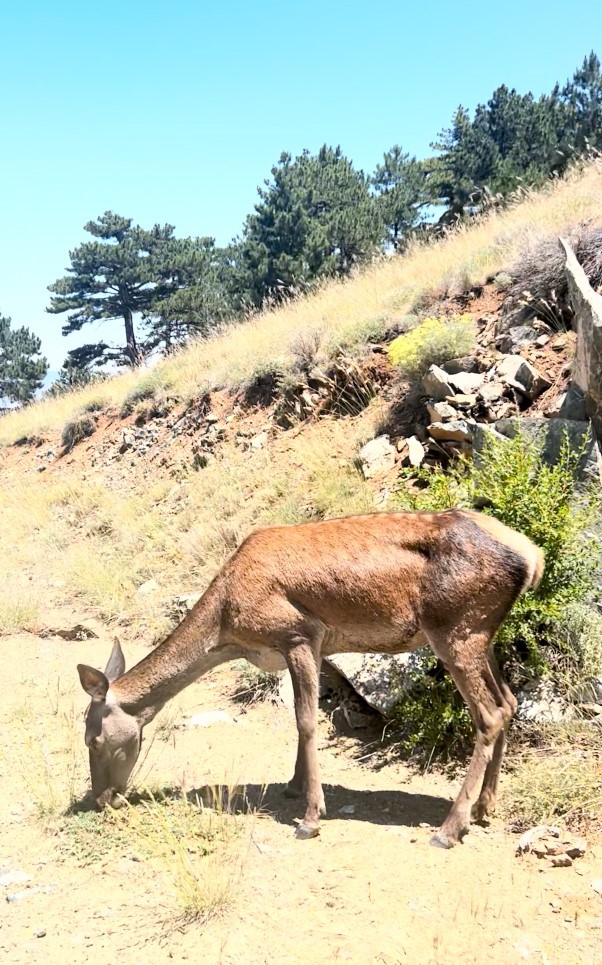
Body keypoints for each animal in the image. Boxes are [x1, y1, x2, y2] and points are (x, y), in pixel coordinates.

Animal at [77, 508, 540, 848]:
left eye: (92, 739)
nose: (102, 799)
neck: (227, 627)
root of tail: (532, 557)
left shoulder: (298, 634)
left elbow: (306, 721)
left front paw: (311, 818)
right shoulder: (310, 649)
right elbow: (299, 721)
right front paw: (293, 785)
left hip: (456, 629)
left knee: (489, 713)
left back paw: (450, 828)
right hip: (482, 635)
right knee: (510, 701)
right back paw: (484, 807)